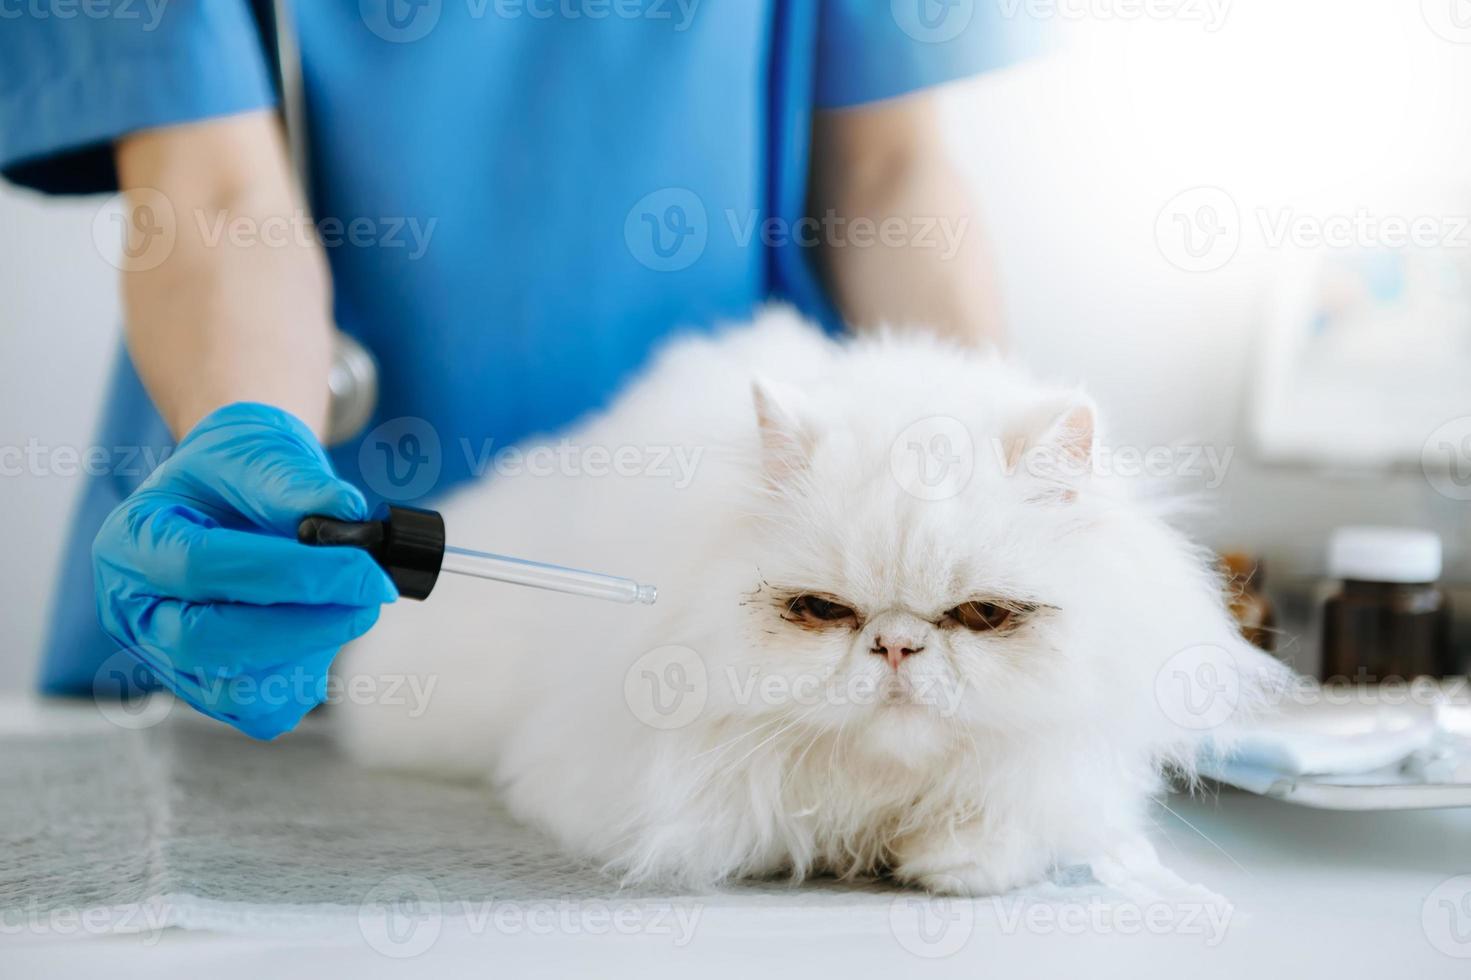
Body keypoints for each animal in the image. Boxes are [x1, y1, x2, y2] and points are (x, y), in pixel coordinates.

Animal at [336, 307, 1288, 894]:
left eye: (979, 617)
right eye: (823, 612)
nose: (897, 647)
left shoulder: (1061, 775)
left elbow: (1014, 822)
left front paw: (941, 859)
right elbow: (754, 821)